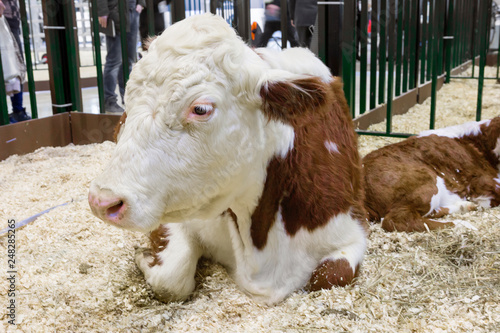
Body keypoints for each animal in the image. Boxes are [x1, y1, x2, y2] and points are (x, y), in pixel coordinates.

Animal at [87, 13, 368, 304]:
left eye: (200, 109)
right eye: (128, 101)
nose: (101, 201)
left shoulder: (352, 227)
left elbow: (331, 275)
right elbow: (171, 279)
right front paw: (144, 257)